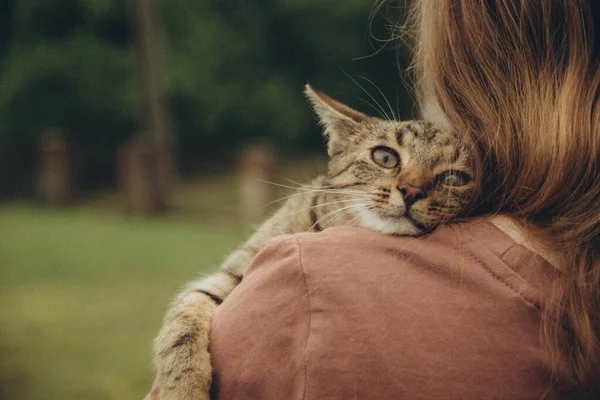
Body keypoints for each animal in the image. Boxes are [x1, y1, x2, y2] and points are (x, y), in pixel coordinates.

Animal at [152, 84, 476, 400]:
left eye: (455, 178)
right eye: (385, 157)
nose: (412, 190)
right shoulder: (226, 275)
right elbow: (181, 324)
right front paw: (183, 389)